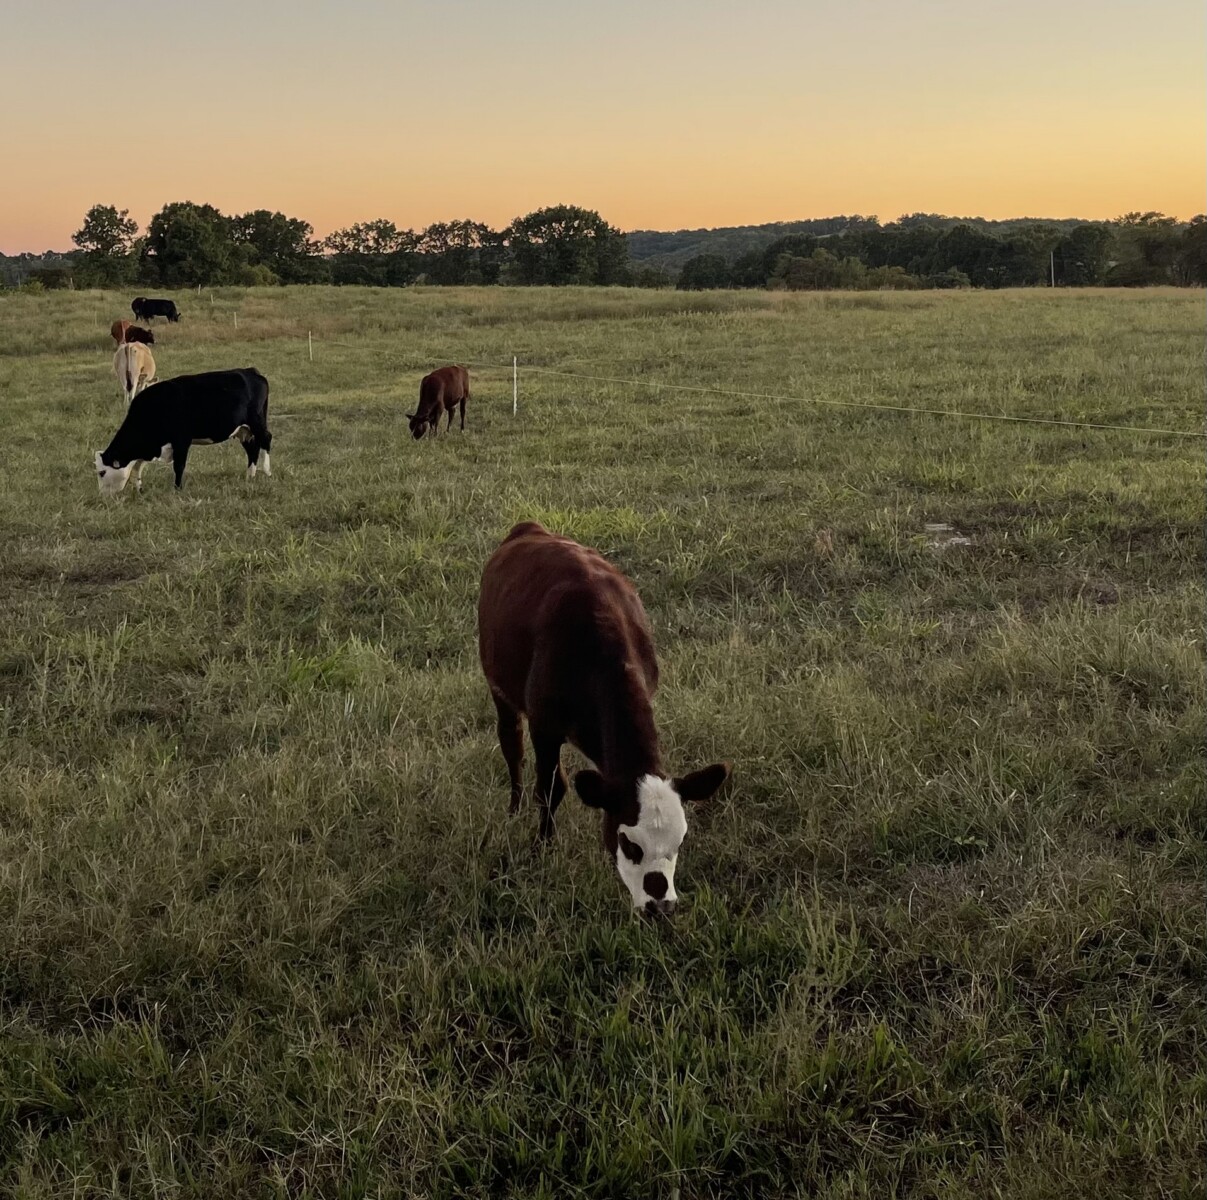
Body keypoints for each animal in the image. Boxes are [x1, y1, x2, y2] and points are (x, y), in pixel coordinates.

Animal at [94, 368, 272, 495]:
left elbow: (179, 466)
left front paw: (177, 488)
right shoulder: (150, 447)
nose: (102, 495)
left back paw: (267, 471)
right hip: (243, 430)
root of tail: (251, 371)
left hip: (256, 421)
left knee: (266, 439)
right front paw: (139, 489)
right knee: (252, 448)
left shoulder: (181, 440)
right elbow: (137, 467)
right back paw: (250, 475)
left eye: (102, 472)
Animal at [478, 521, 730, 917]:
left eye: (680, 841)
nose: (661, 906)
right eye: (630, 844)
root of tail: (529, 528)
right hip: (498, 685)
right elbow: (550, 789)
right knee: (511, 746)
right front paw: (541, 849)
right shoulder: (544, 725)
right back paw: (513, 811)